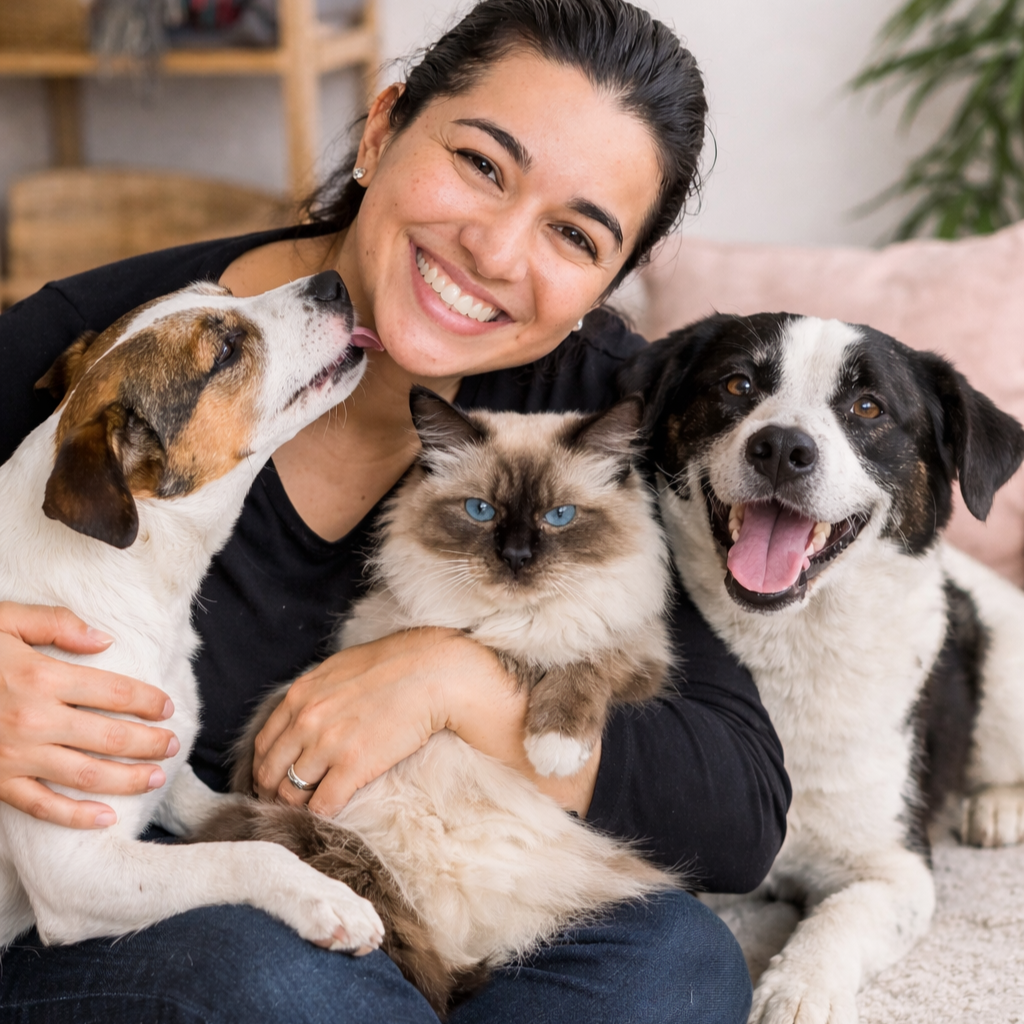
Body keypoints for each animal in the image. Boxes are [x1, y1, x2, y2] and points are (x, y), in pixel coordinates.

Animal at [0, 270, 386, 955]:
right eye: (226, 352)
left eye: (226, 292)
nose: (334, 282)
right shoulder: (74, 870)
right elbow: (249, 854)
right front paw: (327, 897)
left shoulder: (168, 772)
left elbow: (250, 817)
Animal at [193, 387, 679, 1016]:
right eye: (480, 511)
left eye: (559, 517)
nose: (516, 557)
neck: (511, 626)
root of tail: (458, 940)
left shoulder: (637, 654)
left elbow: (584, 662)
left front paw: (554, 748)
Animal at [621, 313, 1024, 1024]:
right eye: (738, 383)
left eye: (868, 407)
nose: (782, 447)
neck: (791, 640)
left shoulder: (894, 868)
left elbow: (839, 919)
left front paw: (798, 989)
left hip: (1005, 671)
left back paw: (998, 807)